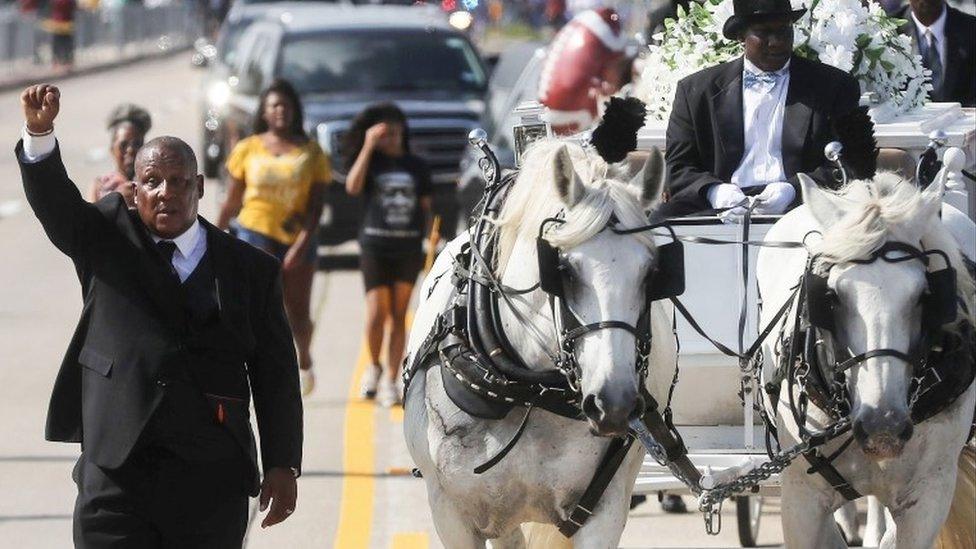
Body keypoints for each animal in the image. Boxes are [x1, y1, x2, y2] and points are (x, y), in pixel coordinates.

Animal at [400, 139, 676, 544]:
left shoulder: (604, 510)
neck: (529, 390)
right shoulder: (451, 514)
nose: (614, 403)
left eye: (652, 273)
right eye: (564, 271)